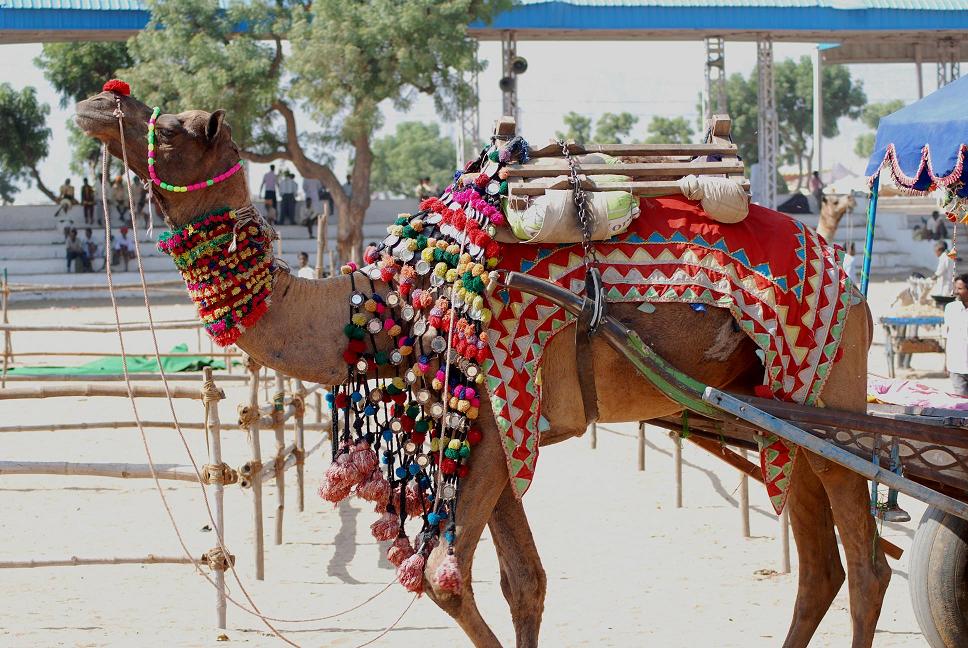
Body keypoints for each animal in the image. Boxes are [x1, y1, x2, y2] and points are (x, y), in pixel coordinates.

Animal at [77, 86, 892, 648]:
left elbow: (445, 579)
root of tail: (851, 282)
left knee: (867, 562)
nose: (99, 99)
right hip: (777, 411)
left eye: (174, 128)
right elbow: (522, 581)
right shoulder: (489, 433)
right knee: (822, 565)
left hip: (829, 381)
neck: (379, 305)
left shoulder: (501, 423)